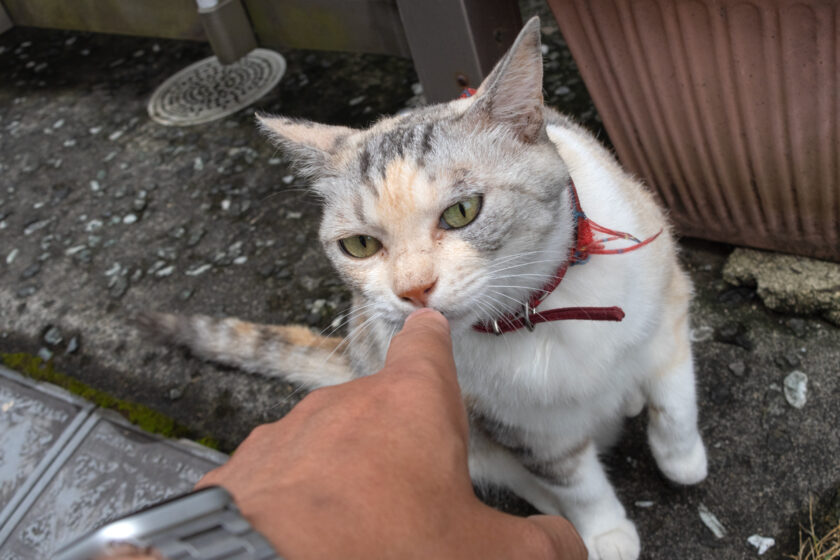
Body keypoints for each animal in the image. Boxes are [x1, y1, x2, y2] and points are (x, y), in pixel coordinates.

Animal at [141, 17, 704, 560]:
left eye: (462, 211)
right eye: (361, 245)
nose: (413, 289)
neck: (544, 310)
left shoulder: (666, 311)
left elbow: (675, 400)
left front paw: (681, 459)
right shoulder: (525, 428)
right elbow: (574, 481)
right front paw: (605, 532)